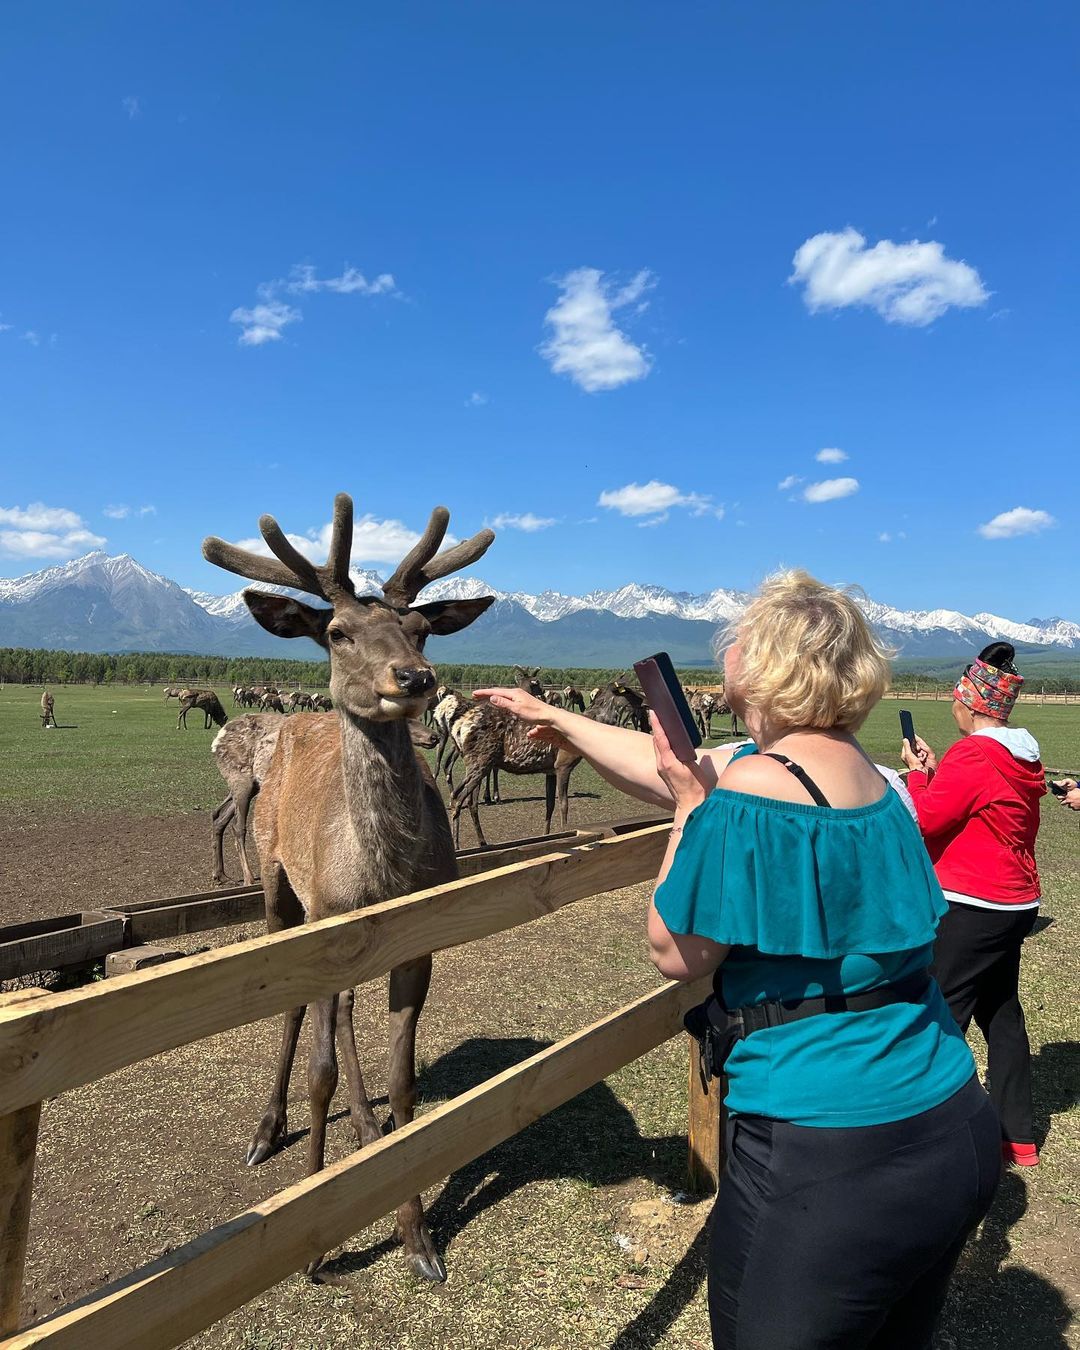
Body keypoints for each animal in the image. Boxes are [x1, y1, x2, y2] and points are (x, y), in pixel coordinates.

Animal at [199, 494, 496, 1274]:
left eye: (421, 629)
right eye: (336, 632)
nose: (414, 679)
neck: (382, 873)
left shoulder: (417, 940)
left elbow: (403, 1078)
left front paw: (417, 1234)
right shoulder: (326, 922)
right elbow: (320, 1070)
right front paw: (314, 1239)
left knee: (346, 1016)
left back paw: (365, 1128)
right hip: (280, 886)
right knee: (300, 1015)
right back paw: (268, 1130)